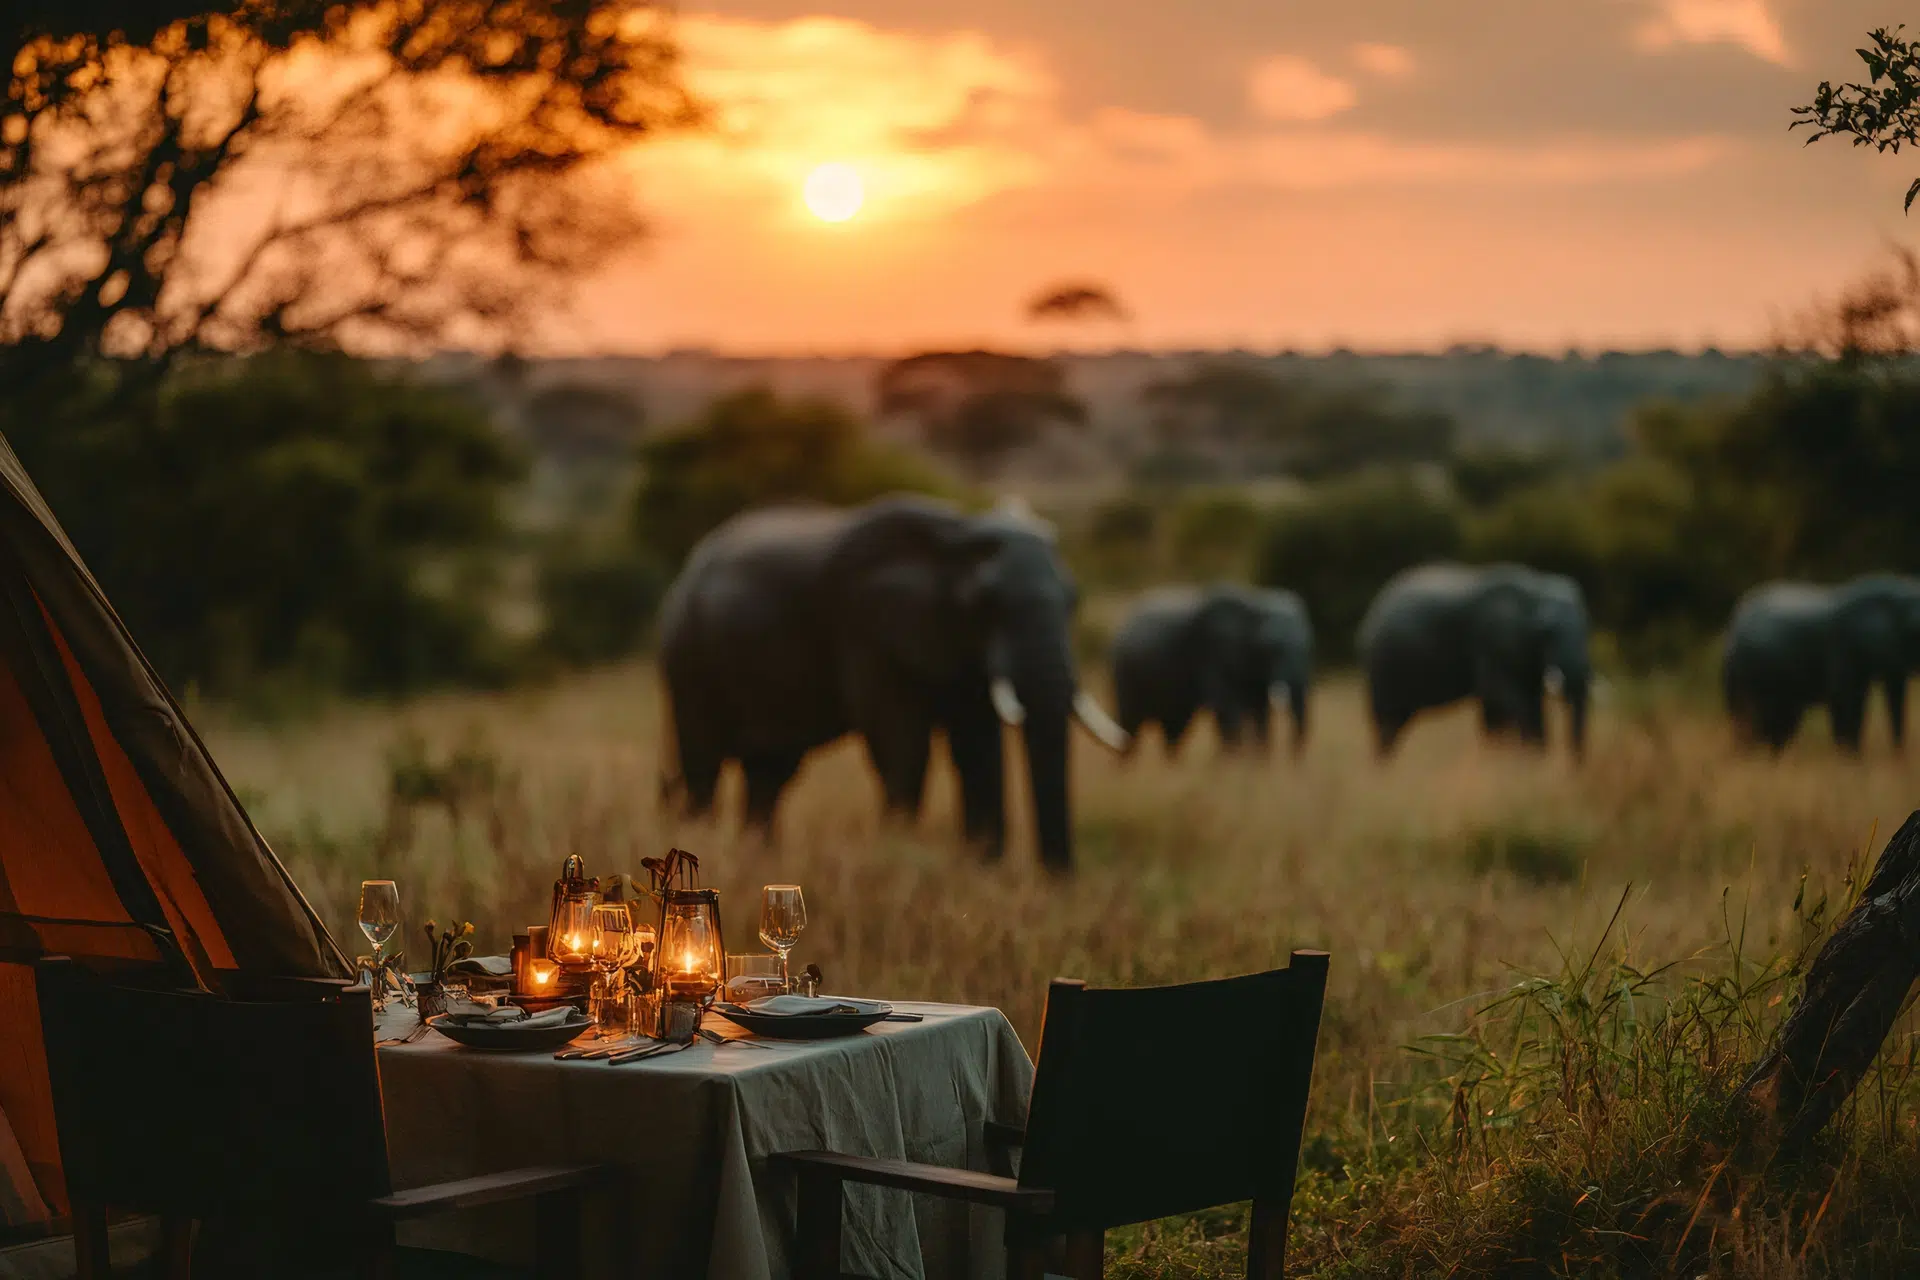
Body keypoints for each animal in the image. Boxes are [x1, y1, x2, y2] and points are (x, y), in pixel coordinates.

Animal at [656, 495, 1131, 871]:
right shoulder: (866, 627)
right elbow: (901, 742)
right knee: (704, 764)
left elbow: (977, 747)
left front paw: (982, 871)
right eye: (986, 602)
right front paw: (901, 856)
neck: (956, 534)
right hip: (687, 655)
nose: (1058, 878)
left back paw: (762, 862)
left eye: (1074, 601)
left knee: (769, 774)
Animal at [1109, 584, 1313, 756]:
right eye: (1274, 649)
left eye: (1309, 649)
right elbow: (1228, 708)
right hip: (1124, 675)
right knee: (1130, 728)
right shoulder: (1212, 654)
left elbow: (1260, 713)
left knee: (1174, 729)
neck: (1255, 603)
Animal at [1358, 563, 1591, 758]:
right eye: (1546, 632)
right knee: (1387, 720)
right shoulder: (1492, 638)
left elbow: (1523, 701)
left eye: (1588, 629)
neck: (1536, 587)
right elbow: (1500, 693)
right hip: (1383, 665)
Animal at [1721, 575, 1920, 752]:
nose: (1899, 762)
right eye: (1914, 632)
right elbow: (1846, 700)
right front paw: (1851, 760)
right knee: (1760, 719)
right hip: (1750, 672)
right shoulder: (1840, 646)